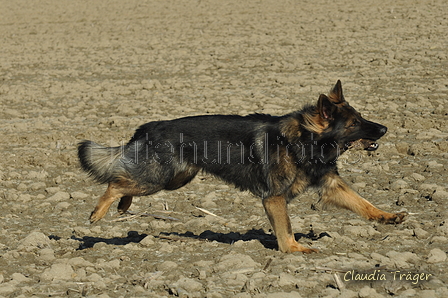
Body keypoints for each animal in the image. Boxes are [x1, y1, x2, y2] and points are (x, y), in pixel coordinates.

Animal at [79, 80, 408, 253]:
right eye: (354, 123)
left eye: (361, 117)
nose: (384, 129)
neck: (306, 140)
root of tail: (149, 126)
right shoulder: (274, 198)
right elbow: (286, 228)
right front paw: (293, 250)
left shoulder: (331, 185)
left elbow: (362, 203)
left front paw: (388, 216)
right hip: (160, 178)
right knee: (115, 181)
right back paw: (99, 212)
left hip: (175, 179)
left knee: (124, 181)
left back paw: (122, 206)